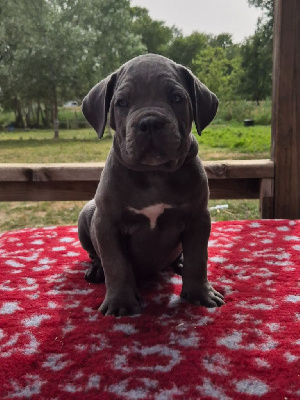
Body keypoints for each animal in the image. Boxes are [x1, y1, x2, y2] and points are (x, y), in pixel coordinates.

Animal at [78, 54, 224, 316]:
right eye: (122, 103)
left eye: (176, 98)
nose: (150, 122)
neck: (154, 173)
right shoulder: (106, 222)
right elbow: (115, 263)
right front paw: (121, 303)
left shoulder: (198, 219)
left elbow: (198, 258)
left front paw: (200, 294)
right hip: (87, 214)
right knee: (96, 254)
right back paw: (96, 270)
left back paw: (179, 262)